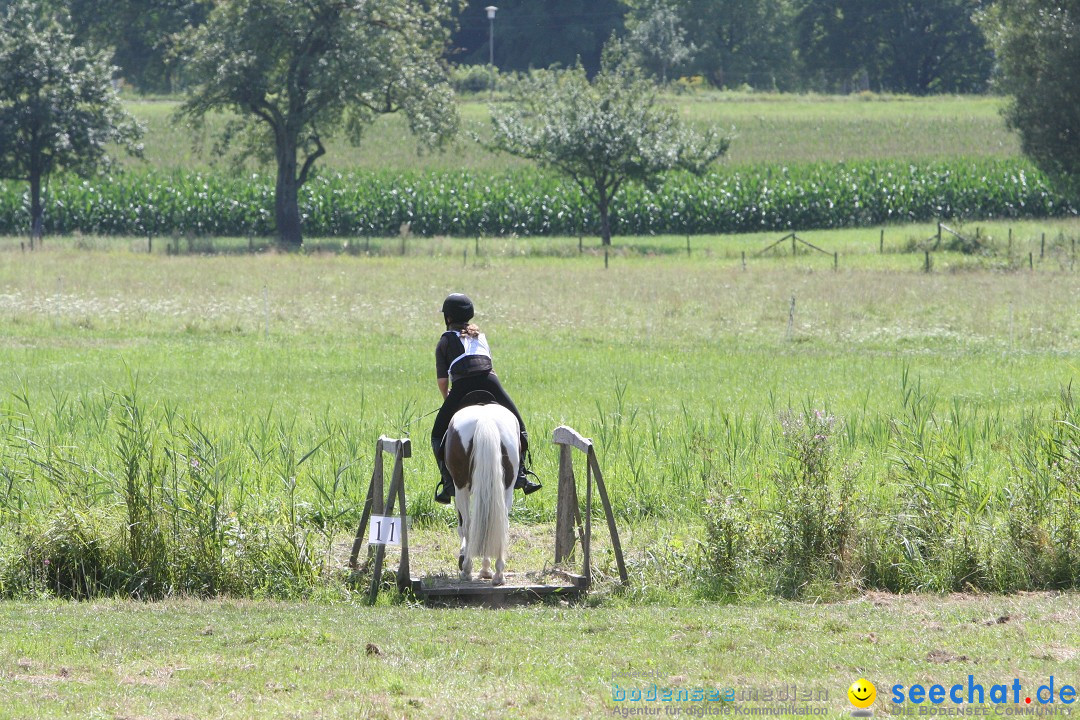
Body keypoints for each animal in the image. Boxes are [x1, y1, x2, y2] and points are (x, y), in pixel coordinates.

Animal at [442, 403, 518, 587]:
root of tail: (485, 419)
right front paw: (486, 569)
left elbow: (463, 528)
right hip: (506, 488)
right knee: (500, 524)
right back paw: (498, 575)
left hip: (460, 487)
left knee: (468, 526)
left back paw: (467, 570)